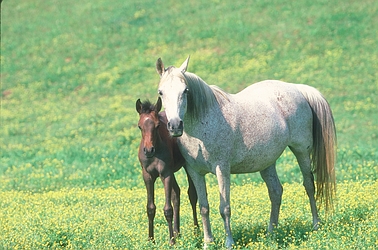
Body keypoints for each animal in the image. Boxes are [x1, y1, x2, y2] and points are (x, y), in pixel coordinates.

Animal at [137, 97, 201, 244]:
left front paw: (171, 242)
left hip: (188, 166)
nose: (148, 150)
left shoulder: (165, 173)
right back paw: (177, 233)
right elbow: (150, 208)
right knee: (176, 193)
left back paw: (196, 232)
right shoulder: (147, 175)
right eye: (139, 126)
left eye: (157, 126)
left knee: (192, 194)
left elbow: (168, 209)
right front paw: (151, 240)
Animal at [154, 56, 336, 248]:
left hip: (301, 151)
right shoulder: (195, 172)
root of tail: (297, 89)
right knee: (276, 192)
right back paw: (271, 233)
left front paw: (229, 242)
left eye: (185, 91)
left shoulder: (222, 169)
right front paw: (208, 243)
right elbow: (204, 207)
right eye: (161, 92)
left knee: (309, 185)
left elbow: (224, 208)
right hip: (267, 162)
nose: (175, 126)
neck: (203, 124)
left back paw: (315, 225)